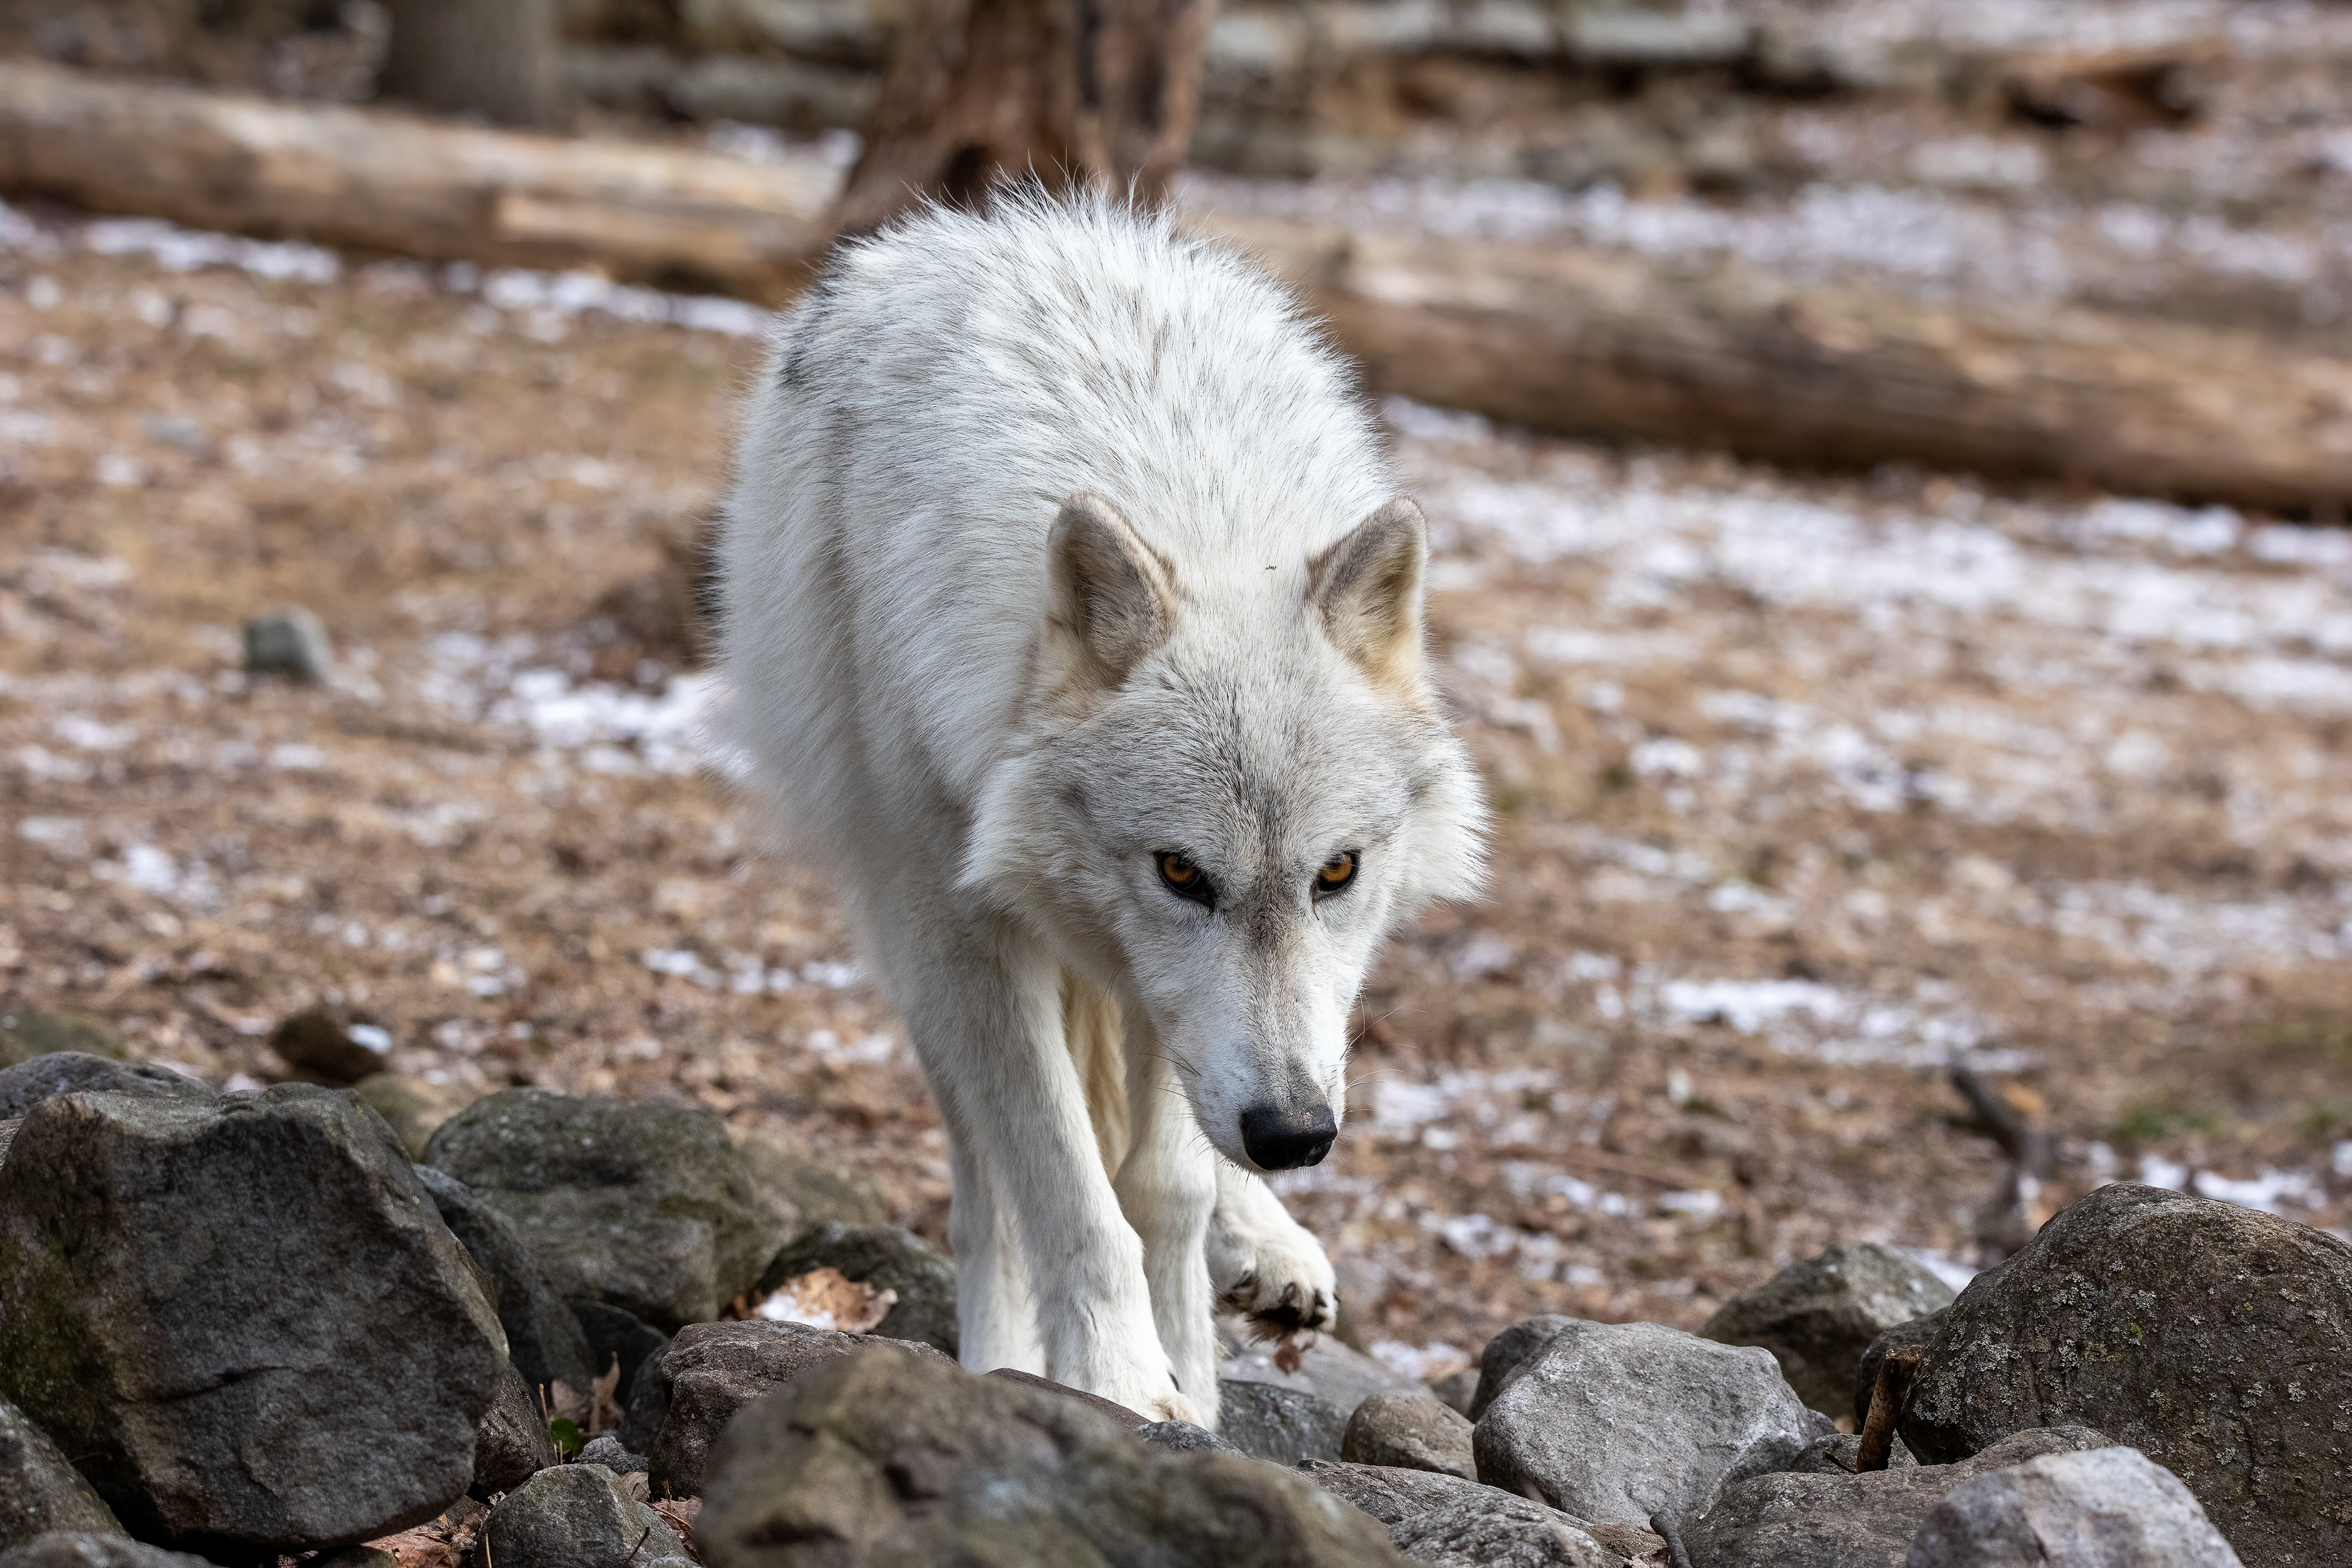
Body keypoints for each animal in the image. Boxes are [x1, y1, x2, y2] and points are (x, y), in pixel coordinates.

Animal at [716, 193, 1486, 1426]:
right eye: (1181, 873)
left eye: (1337, 873)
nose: (1296, 1136)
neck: (1187, 492)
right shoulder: (963, 928)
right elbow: (1067, 1193)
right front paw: (1119, 1382)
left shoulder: (1167, 997)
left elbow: (1164, 1185)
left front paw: (1194, 1379)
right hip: (910, 939)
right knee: (986, 1194)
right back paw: (1008, 1348)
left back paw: (1267, 1246)